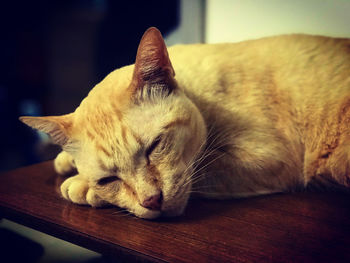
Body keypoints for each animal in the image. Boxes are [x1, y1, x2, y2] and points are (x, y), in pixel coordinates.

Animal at [19, 26, 350, 220]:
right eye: (108, 179)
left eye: (155, 146)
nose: (152, 201)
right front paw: (65, 162)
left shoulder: (267, 158)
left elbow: (204, 170)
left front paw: (80, 186)